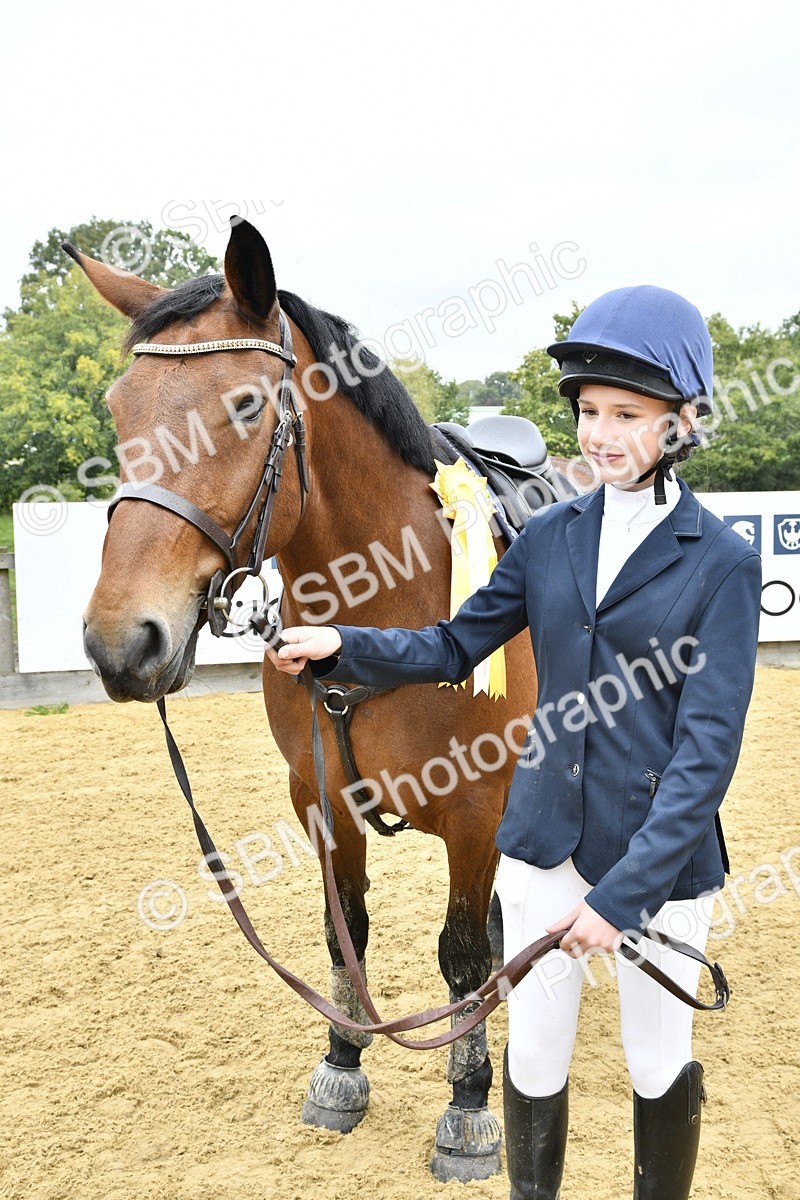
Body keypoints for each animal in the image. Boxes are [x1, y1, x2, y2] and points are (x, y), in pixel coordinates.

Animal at [73, 217, 540, 1182]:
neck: (388, 612)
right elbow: (344, 933)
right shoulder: (320, 797)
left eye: (249, 406)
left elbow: (458, 951)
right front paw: (343, 1064)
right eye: (118, 407)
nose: (120, 640)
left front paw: (470, 1106)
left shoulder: (477, 809)